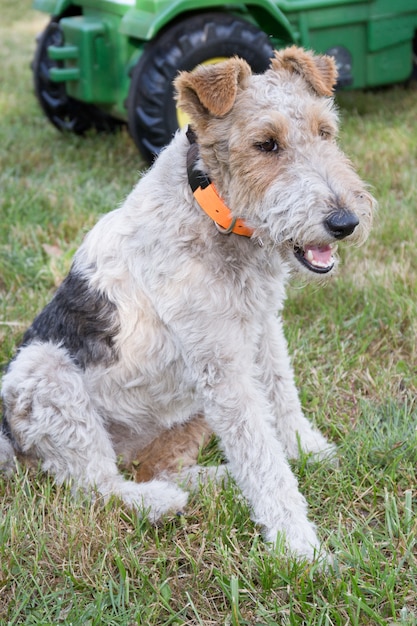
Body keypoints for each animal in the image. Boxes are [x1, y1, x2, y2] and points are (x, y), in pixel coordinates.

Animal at [0, 46, 374, 560]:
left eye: (325, 131)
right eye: (266, 144)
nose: (344, 221)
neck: (211, 208)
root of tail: (9, 440)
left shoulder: (262, 328)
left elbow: (283, 396)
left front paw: (309, 451)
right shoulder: (222, 366)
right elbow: (262, 457)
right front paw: (300, 549)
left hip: (186, 415)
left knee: (157, 467)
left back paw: (218, 482)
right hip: (47, 376)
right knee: (96, 485)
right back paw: (160, 503)